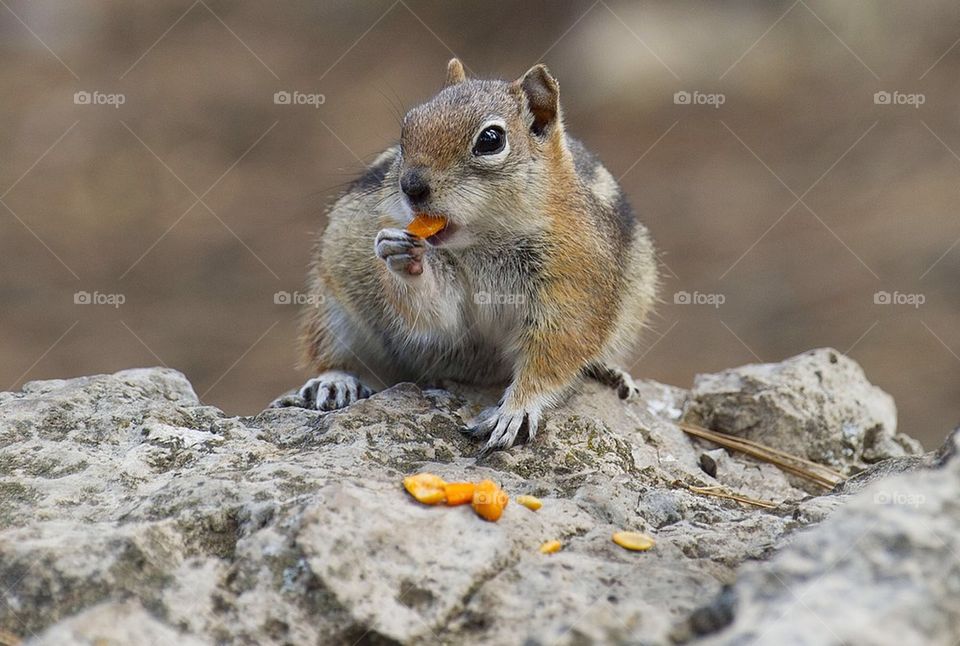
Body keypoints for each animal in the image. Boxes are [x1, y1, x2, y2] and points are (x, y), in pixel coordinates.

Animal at [274, 59, 656, 456]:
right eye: (407, 127)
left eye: (491, 140)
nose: (411, 186)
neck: (484, 241)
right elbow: (437, 315)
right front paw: (404, 261)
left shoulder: (573, 287)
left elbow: (553, 357)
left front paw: (515, 410)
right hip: (332, 303)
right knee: (333, 352)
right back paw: (334, 381)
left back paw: (608, 370)